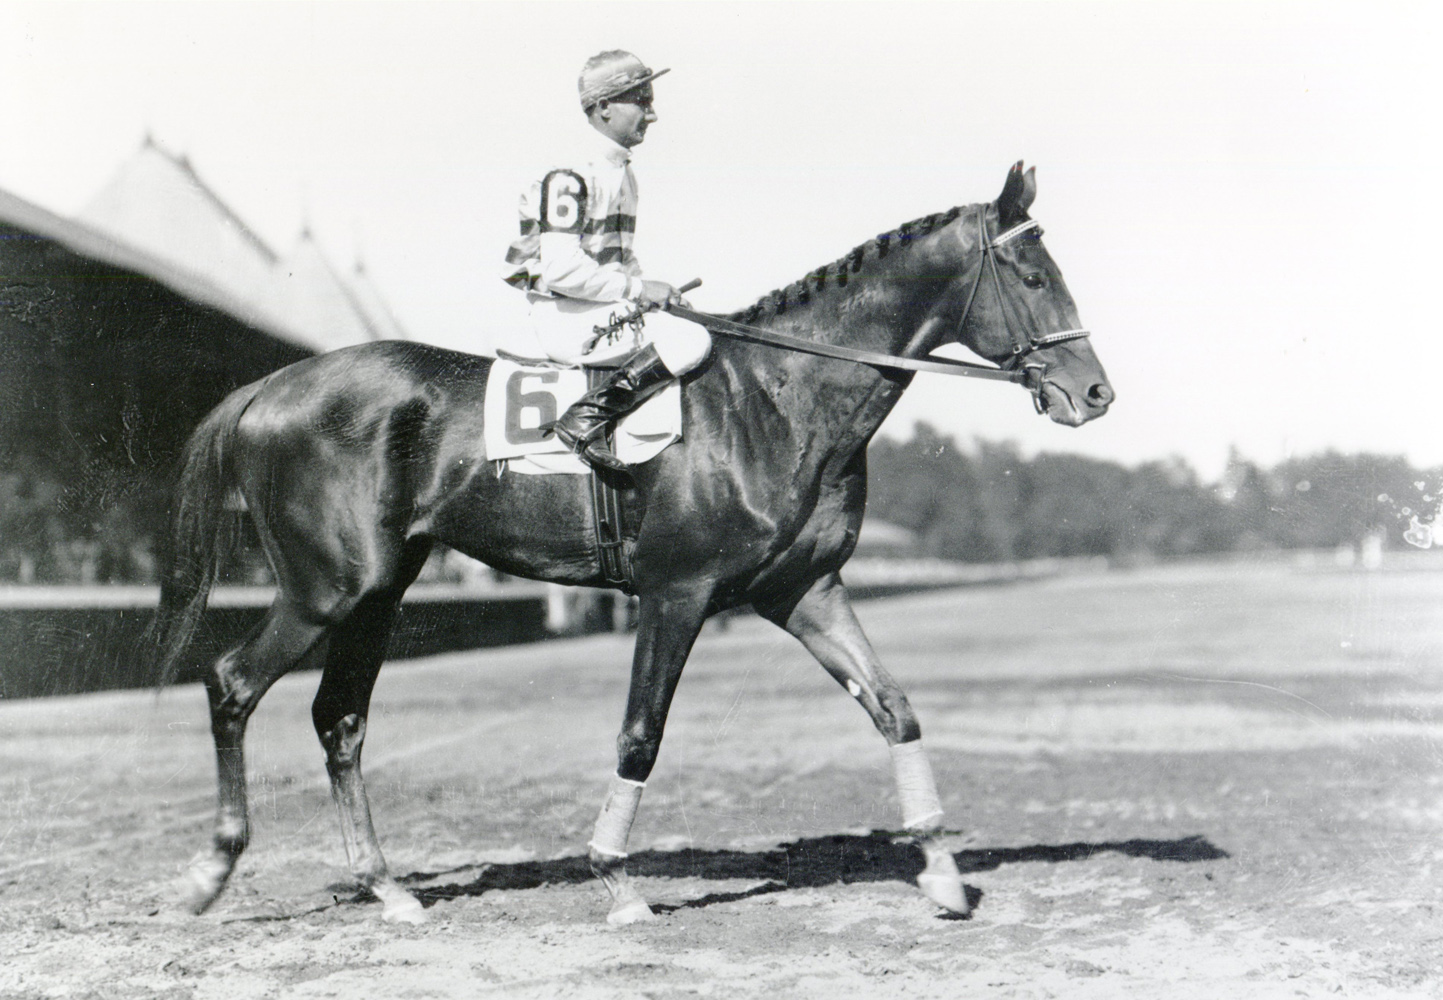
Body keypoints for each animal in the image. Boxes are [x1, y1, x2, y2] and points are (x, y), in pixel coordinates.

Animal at [152, 161, 1108, 917]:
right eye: (1032, 274)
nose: (1093, 393)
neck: (774, 396)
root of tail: (271, 384)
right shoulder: (674, 593)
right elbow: (639, 734)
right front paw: (613, 880)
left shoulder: (802, 590)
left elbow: (893, 709)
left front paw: (941, 871)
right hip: (328, 587)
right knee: (233, 682)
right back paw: (209, 871)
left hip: (379, 589)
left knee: (339, 718)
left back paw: (386, 888)